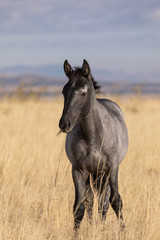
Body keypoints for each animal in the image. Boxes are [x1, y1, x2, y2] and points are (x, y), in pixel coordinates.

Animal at [59, 59, 129, 232]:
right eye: (64, 91)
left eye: (83, 92)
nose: (64, 124)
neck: (93, 136)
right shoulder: (78, 170)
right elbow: (79, 207)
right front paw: (76, 234)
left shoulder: (112, 168)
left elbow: (116, 200)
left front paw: (124, 231)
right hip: (93, 173)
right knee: (91, 199)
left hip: (103, 173)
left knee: (104, 201)